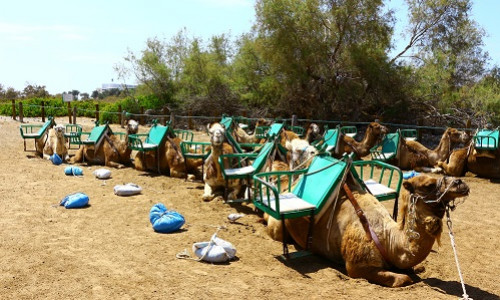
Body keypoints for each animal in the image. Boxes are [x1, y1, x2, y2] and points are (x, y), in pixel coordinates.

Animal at [266, 175, 468, 288]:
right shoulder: (357, 266)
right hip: (277, 227)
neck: (389, 240)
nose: (461, 183)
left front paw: (417, 268)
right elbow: (403, 279)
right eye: (428, 185)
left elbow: (413, 268)